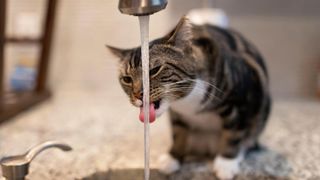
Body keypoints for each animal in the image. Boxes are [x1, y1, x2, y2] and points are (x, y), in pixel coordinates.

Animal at [107, 16, 270, 179]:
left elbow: (233, 133)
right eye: (126, 79)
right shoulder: (177, 115)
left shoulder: (239, 101)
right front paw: (173, 157)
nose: (137, 94)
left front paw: (226, 164)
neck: (188, 102)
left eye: (154, 70)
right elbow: (179, 133)